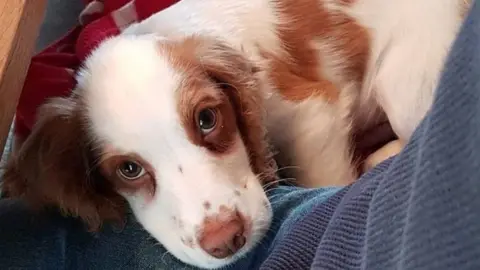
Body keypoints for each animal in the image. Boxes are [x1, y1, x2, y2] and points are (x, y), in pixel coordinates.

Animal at [2, 0, 468, 268]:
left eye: (207, 119)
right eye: (129, 170)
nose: (227, 242)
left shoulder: (310, 110)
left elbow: (326, 180)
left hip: (404, 81)